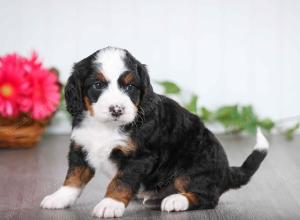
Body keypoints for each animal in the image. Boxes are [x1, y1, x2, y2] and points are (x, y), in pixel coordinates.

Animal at [40, 46, 270, 218]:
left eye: (130, 87)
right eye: (97, 84)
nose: (117, 109)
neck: (105, 126)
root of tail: (225, 171)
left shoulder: (139, 157)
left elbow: (121, 181)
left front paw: (110, 204)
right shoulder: (80, 147)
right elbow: (73, 177)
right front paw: (59, 197)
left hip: (194, 167)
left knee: (206, 197)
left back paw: (176, 200)